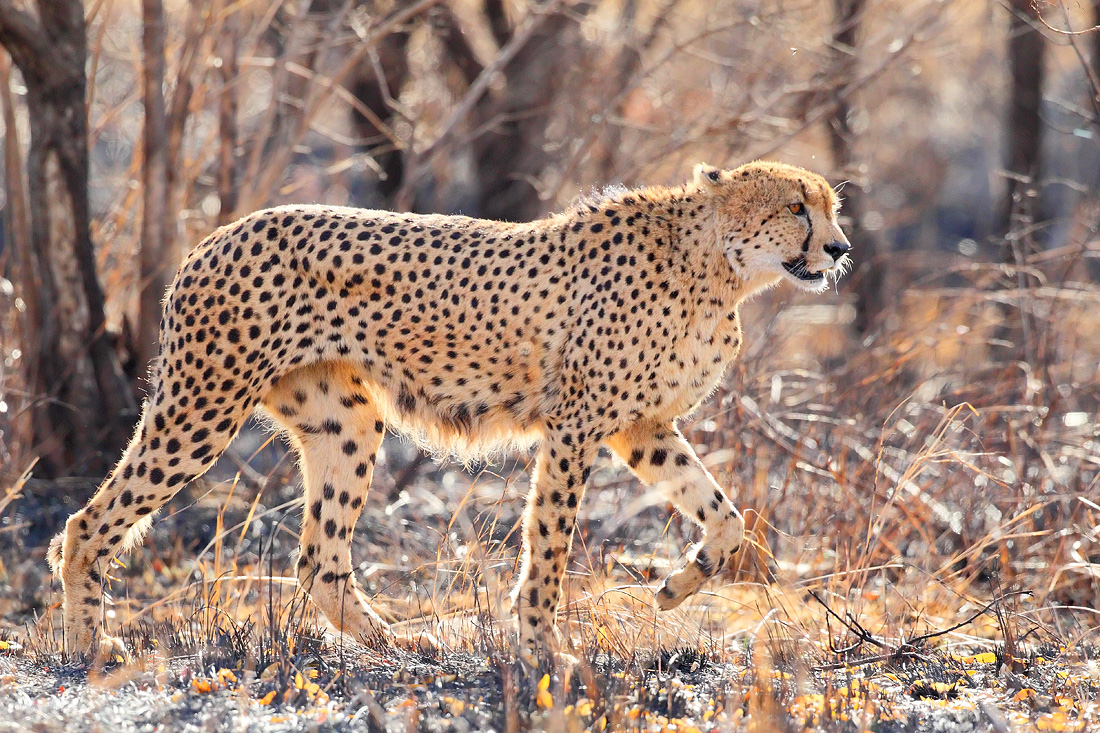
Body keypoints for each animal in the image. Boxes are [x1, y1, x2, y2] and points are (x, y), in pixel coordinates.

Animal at [48, 160, 850, 664]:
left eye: (832, 208)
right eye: (795, 208)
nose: (841, 249)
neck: (719, 271)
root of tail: (217, 234)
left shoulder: (640, 426)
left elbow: (726, 514)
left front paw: (678, 583)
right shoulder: (577, 425)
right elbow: (548, 543)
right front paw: (542, 647)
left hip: (346, 421)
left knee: (320, 557)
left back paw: (397, 644)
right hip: (203, 405)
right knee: (87, 522)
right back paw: (88, 644)